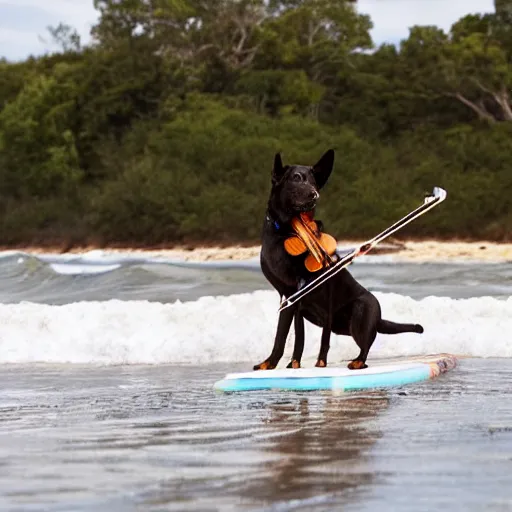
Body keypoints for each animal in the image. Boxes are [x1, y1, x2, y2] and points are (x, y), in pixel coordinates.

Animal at [254, 150, 422, 370]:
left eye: (315, 183)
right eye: (296, 178)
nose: (314, 195)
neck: (283, 233)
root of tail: (378, 318)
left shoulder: (322, 295)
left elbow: (316, 339)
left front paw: (319, 364)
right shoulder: (289, 298)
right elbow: (287, 337)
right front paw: (279, 364)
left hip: (361, 310)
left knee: (365, 347)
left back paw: (357, 361)